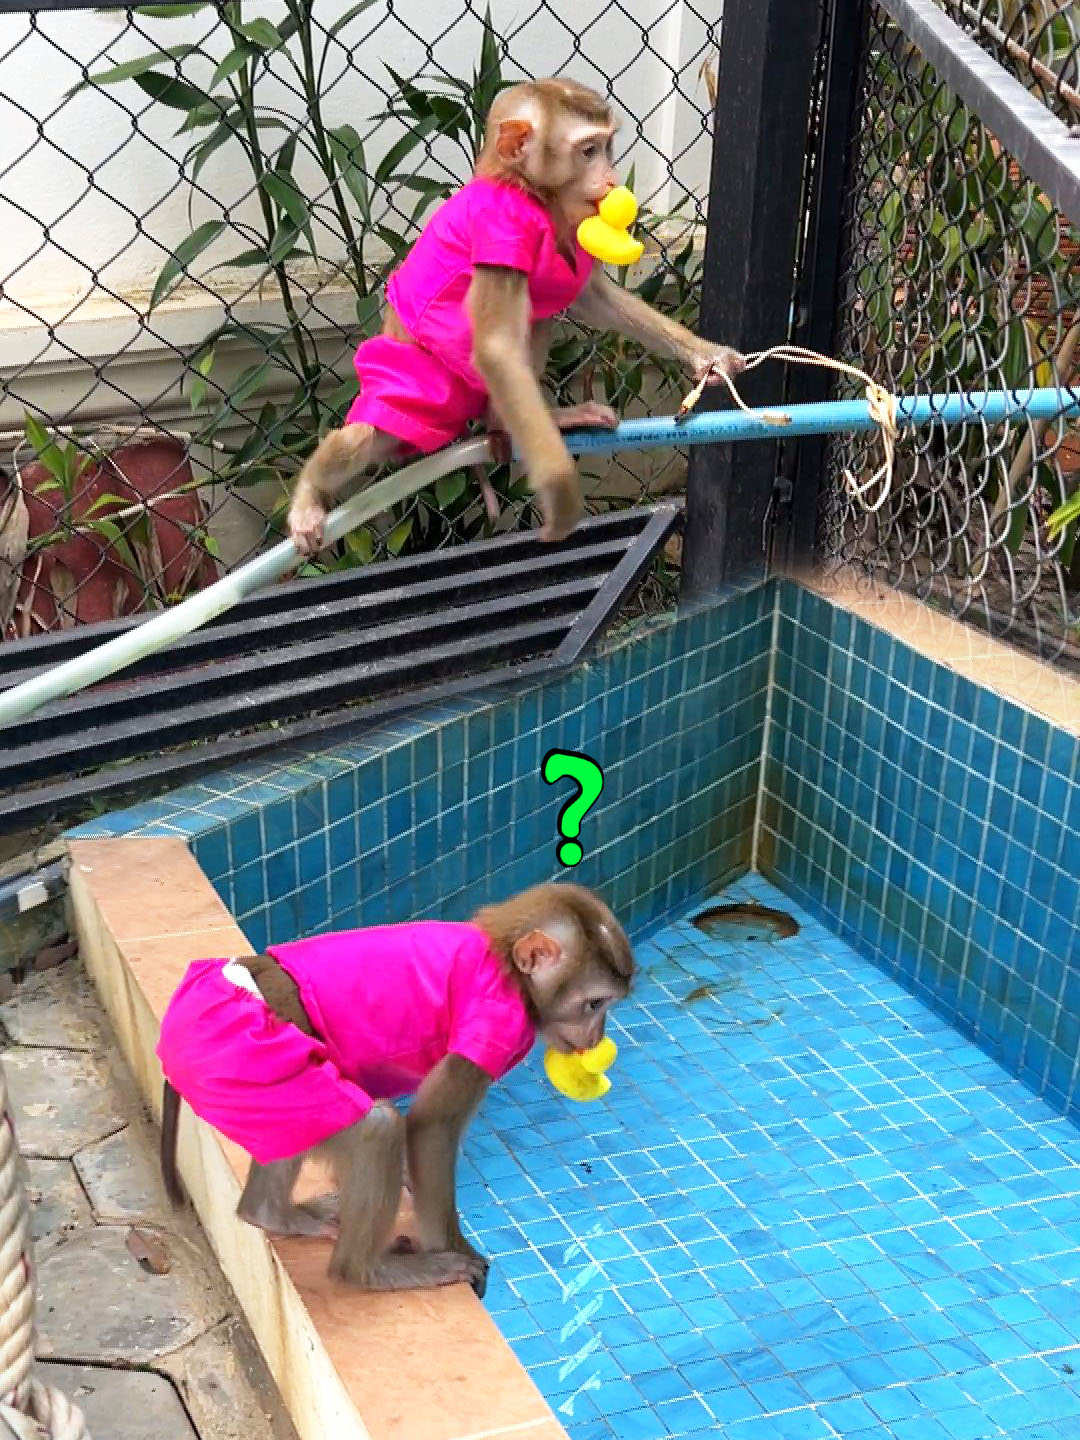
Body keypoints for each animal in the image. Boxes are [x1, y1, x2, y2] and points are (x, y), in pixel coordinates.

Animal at [158, 881, 633, 1301]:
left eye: (607, 1006)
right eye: (594, 1004)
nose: (597, 1036)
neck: (507, 965)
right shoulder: (495, 1022)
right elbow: (430, 1127)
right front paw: (455, 1248)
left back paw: (269, 1212)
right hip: (251, 1060)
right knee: (377, 1128)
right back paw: (368, 1271)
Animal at [285, 74, 743, 555]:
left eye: (607, 146)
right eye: (587, 151)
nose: (611, 177)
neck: (527, 190)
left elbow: (590, 297)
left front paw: (708, 357)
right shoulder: (500, 227)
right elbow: (496, 347)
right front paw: (560, 492)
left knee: (539, 313)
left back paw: (516, 421)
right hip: (409, 385)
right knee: (365, 437)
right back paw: (310, 496)